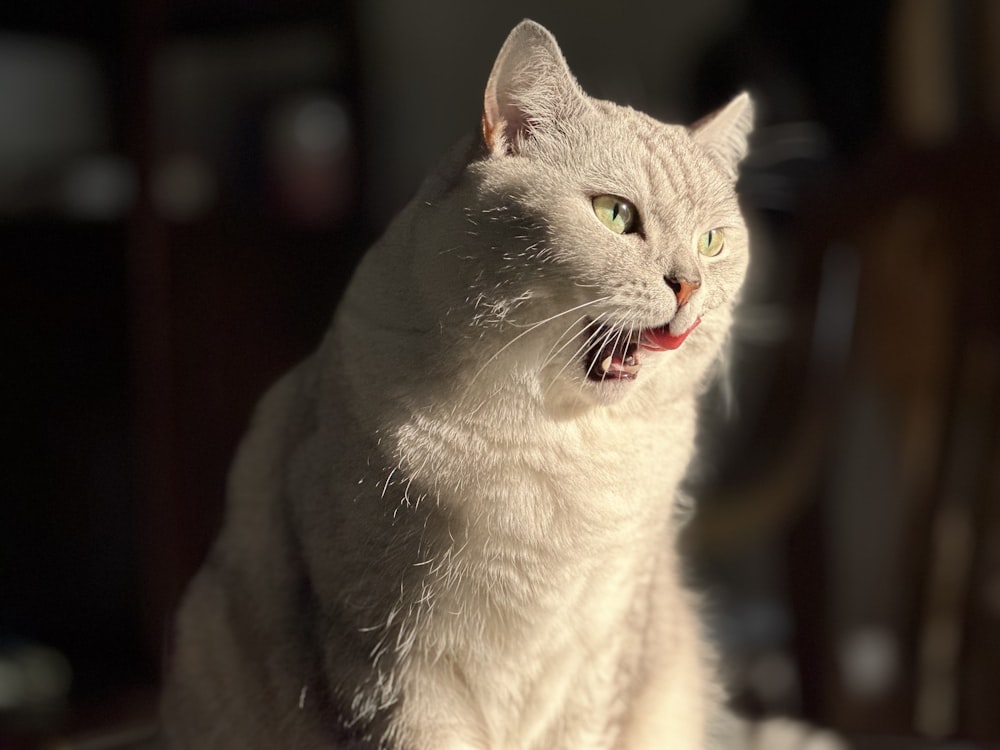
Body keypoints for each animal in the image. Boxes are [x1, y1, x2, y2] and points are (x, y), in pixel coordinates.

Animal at [160, 17, 840, 750]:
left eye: (712, 241)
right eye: (615, 215)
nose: (689, 288)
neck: (554, 443)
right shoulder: (391, 663)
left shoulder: (599, 660)